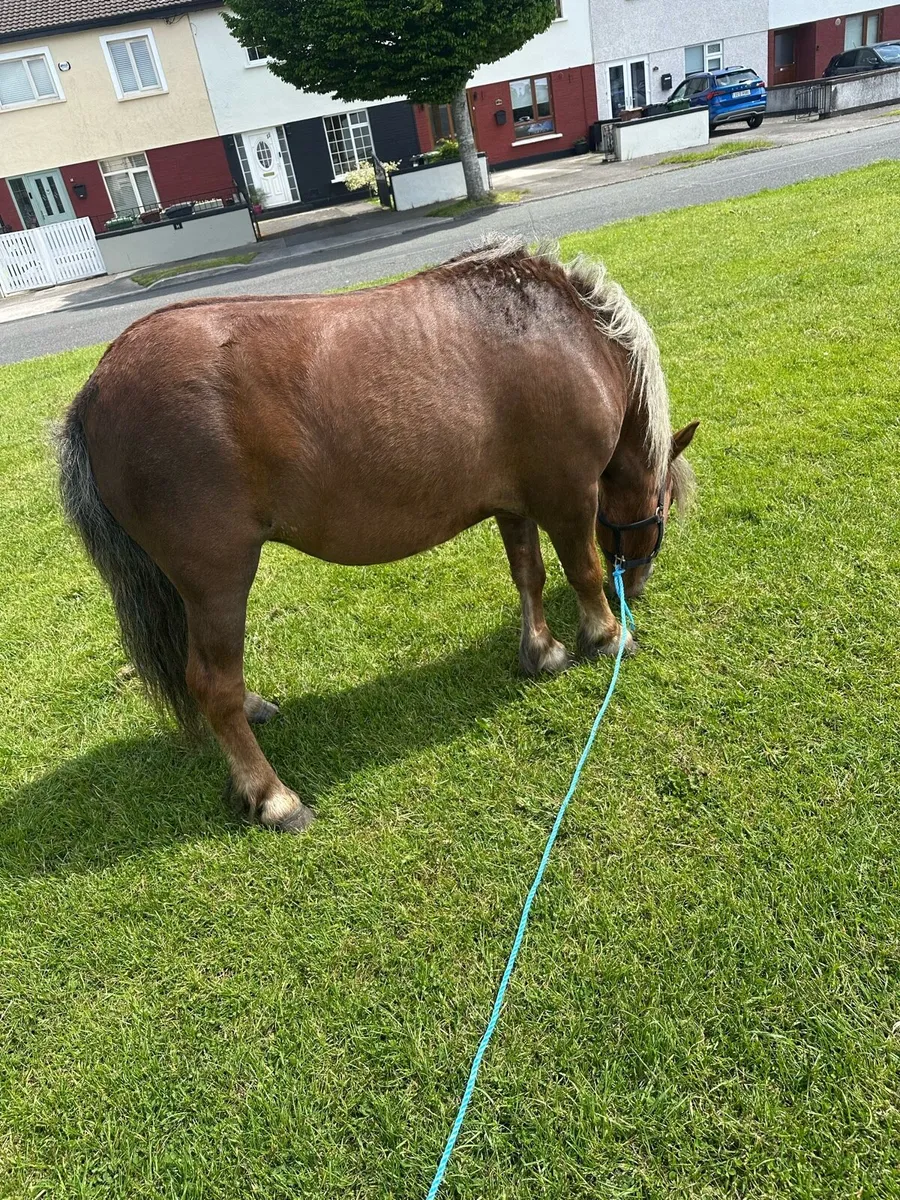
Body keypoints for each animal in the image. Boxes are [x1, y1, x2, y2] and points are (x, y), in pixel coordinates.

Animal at [57, 238, 697, 833]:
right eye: (664, 503)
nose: (638, 587)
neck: (569, 334)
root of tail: (97, 388)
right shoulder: (566, 496)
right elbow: (582, 570)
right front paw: (608, 635)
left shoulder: (513, 504)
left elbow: (529, 575)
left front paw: (542, 650)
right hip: (217, 579)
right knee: (212, 684)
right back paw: (273, 796)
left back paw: (255, 710)